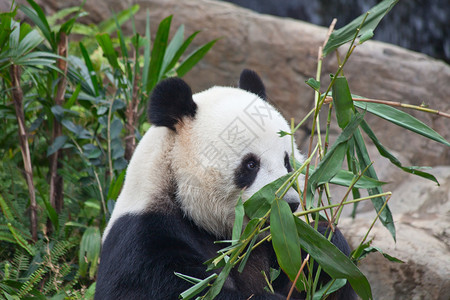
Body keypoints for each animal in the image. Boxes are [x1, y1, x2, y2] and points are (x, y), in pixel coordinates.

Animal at [95, 69, 356, 298]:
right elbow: (184, 289)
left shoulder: (277, 243)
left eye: (287, 162)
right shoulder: (144, 238)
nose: (289, 205)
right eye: (250, 165)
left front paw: (324, 244)